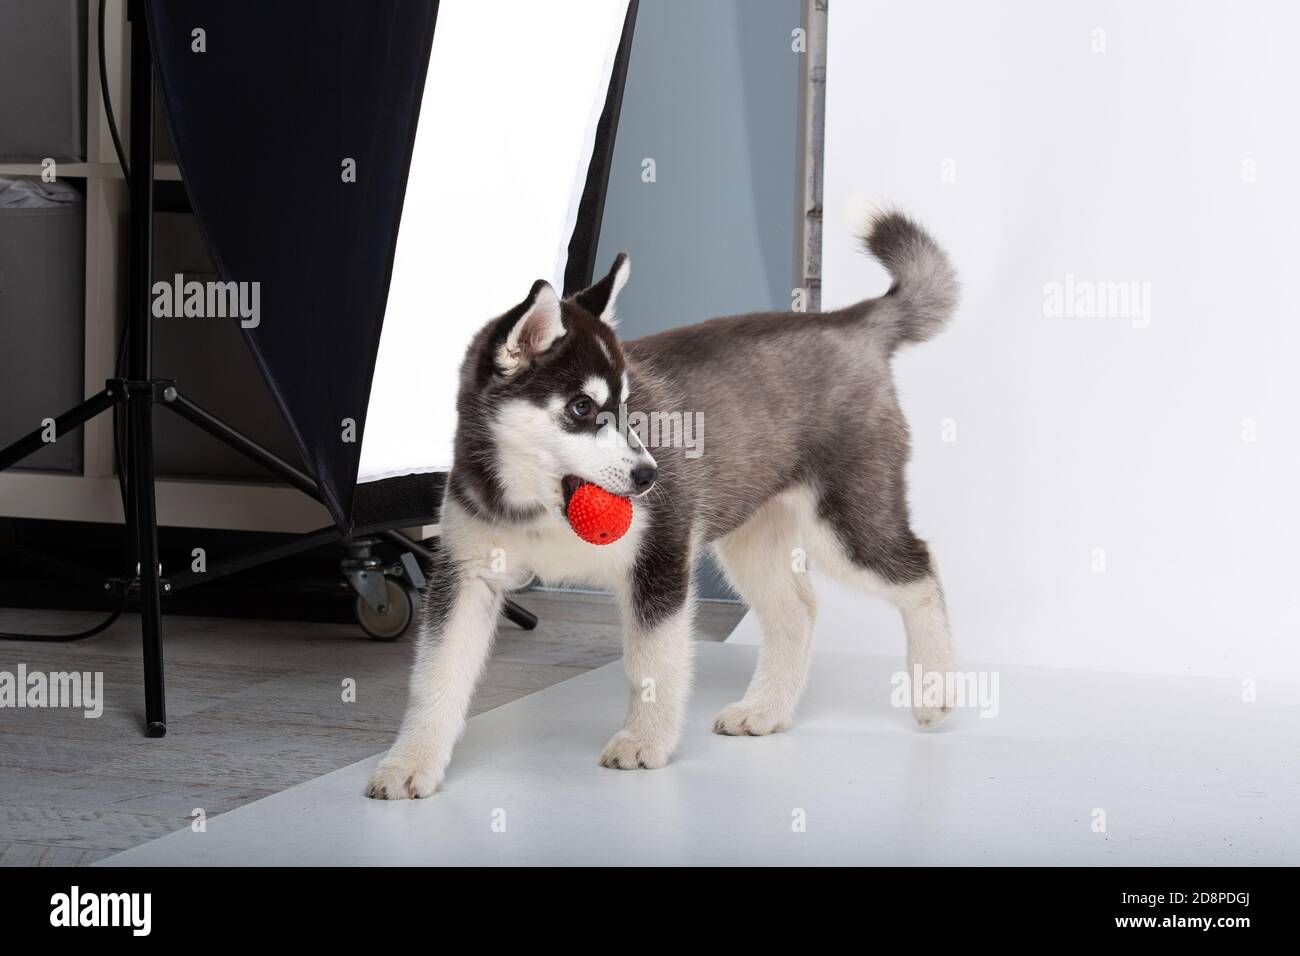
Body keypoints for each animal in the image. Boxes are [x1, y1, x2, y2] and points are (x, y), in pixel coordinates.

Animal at [366, 210, 956, 801]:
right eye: (582, 408)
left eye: (629, 408)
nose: (650, 476)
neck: (544, 508)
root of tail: (847, 320)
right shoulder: (466, 575)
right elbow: (435, 675)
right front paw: (411, 762)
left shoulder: (660, 557)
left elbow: (652, 661)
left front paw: (644, 741)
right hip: (752, 535)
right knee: (799, 608)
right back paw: (766, 709)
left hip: (844, 522)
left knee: (921, 568)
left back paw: (935, 687)